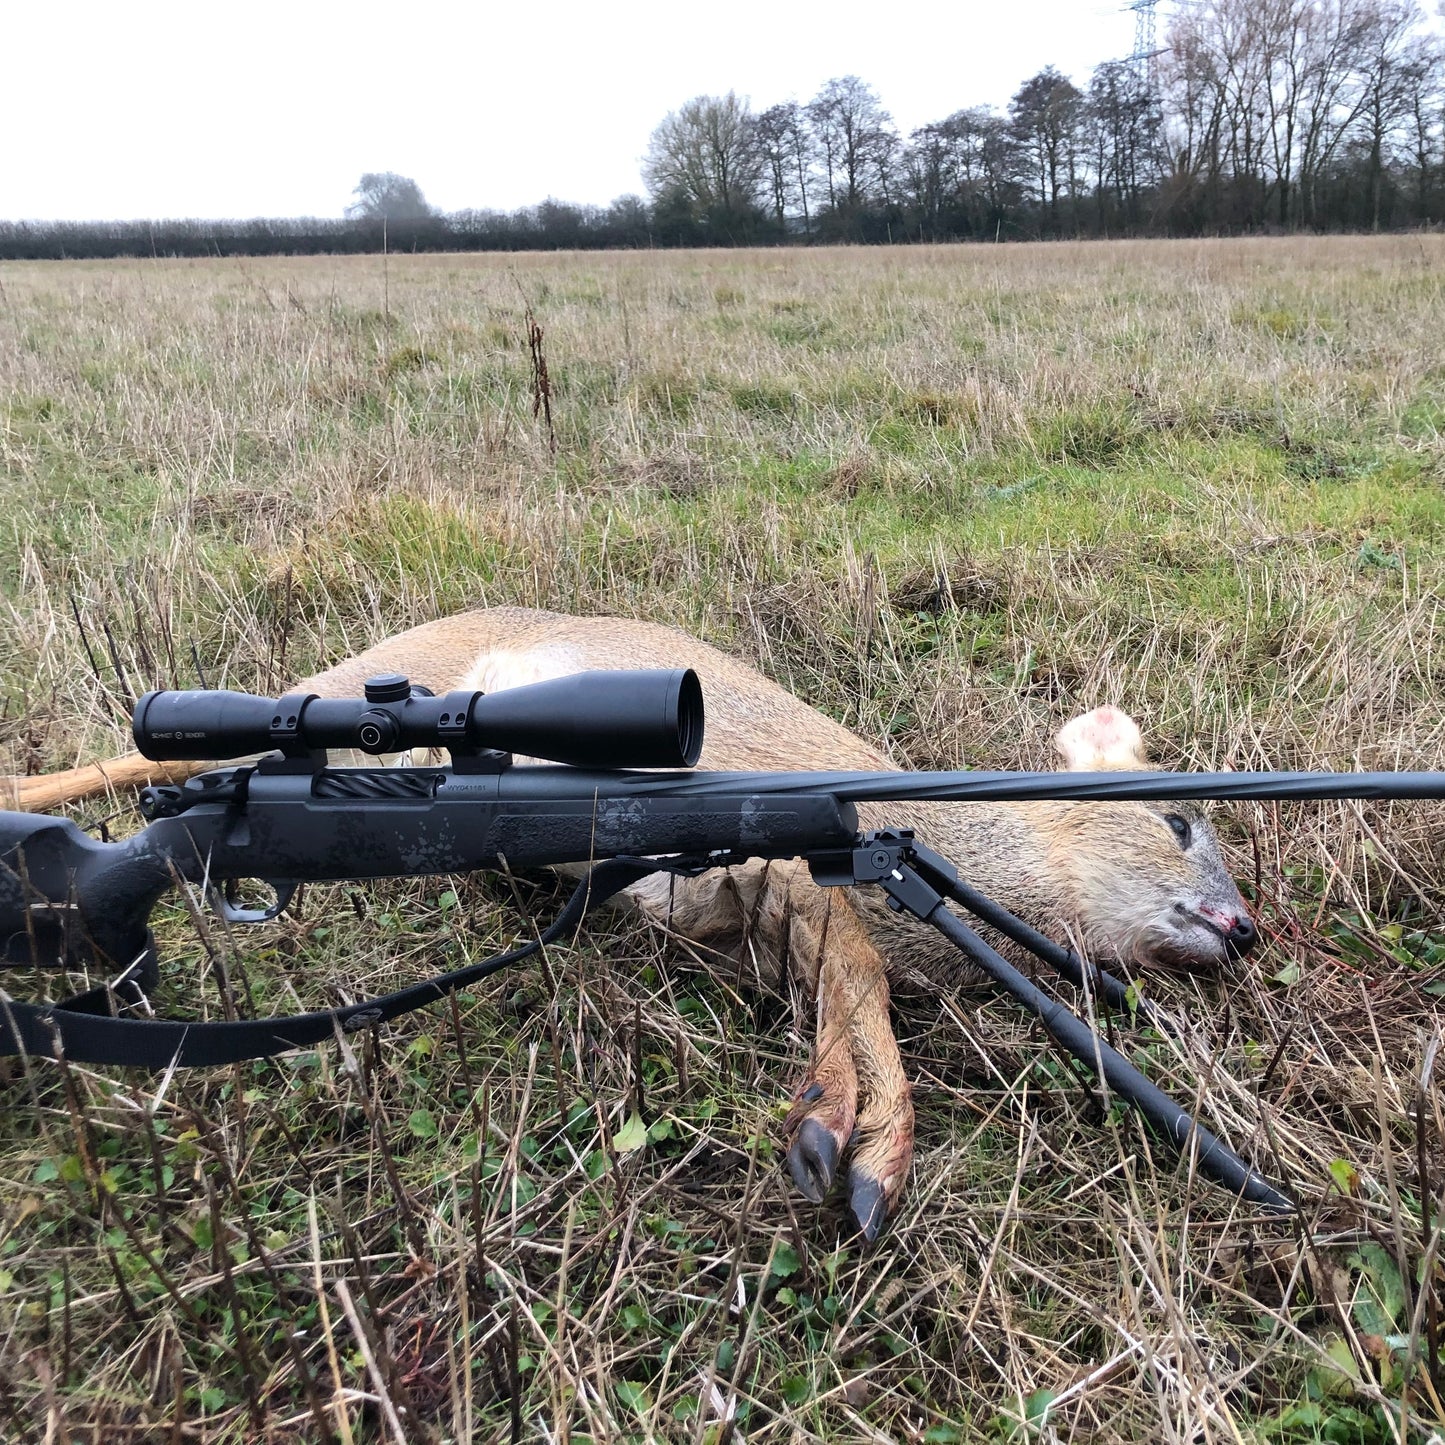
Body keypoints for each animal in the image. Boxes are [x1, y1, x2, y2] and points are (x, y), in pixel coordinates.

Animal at [5, 606, 1257, 1238]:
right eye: (1181, 817)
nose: (1245, 928)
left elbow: (838, 974)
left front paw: (838, 1133)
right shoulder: (775, 857)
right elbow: (858, 973)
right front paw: (850, 1149)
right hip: (342, 681)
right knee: (148, 757)